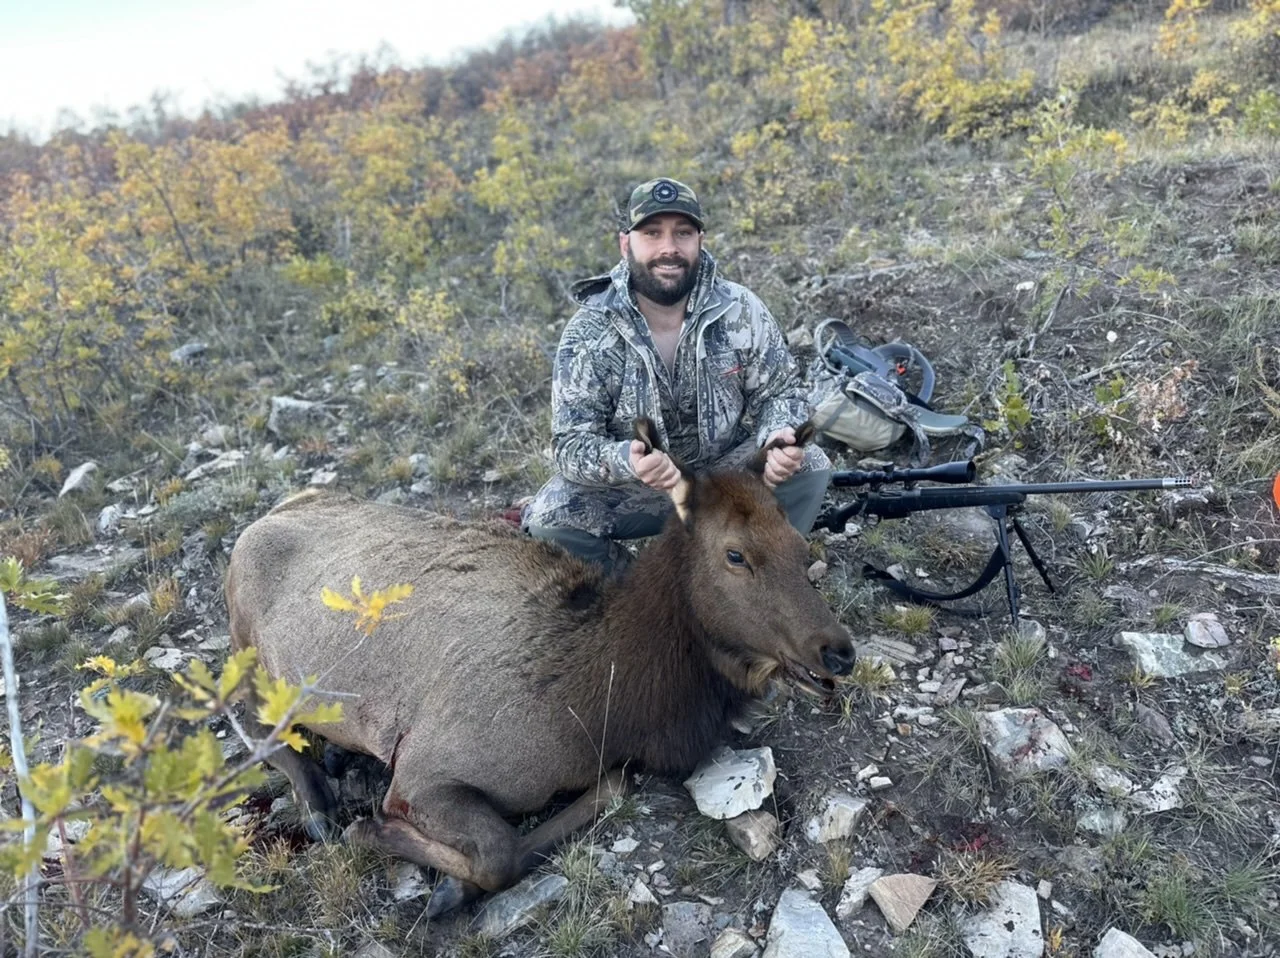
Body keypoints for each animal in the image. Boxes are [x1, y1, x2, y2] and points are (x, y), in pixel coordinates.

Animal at [225, 419, 855, 915]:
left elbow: (613, 786)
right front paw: (384, 839)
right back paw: (319, 805)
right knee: (250, 725)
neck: (605, 703)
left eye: (798, 545)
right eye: (735, 554)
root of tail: (264, 517)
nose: (839, 651)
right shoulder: (425, 769)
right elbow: (498, 855)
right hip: (246, 653)